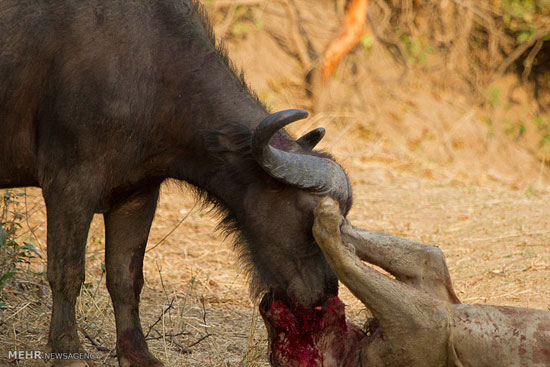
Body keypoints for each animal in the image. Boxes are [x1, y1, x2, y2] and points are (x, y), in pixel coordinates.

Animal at [0, 1, 354, 366]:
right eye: (310, 218)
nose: (325, 294)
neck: (156, 76)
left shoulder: (137, 195)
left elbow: (125, 277)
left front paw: (138, 353)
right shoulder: (69, 187)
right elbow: (66, 272)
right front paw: (68, 350)